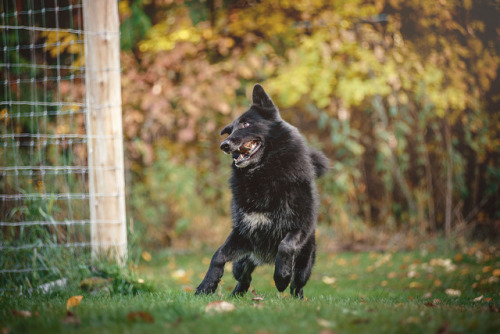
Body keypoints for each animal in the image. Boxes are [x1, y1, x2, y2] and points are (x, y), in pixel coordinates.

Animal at [194, 83, 328, 298]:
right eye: (230, 130)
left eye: (246, 124)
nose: (224, 145)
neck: (264, 173)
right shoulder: (243, 231)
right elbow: (218, 255)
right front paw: (206, 286)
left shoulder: (300, 227)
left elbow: (286, 245)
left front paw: (281, 277)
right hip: (243, 262)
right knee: (244, 277)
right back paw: (237, 295)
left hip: (305, 264)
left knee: (297, 284)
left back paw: (297, 298)